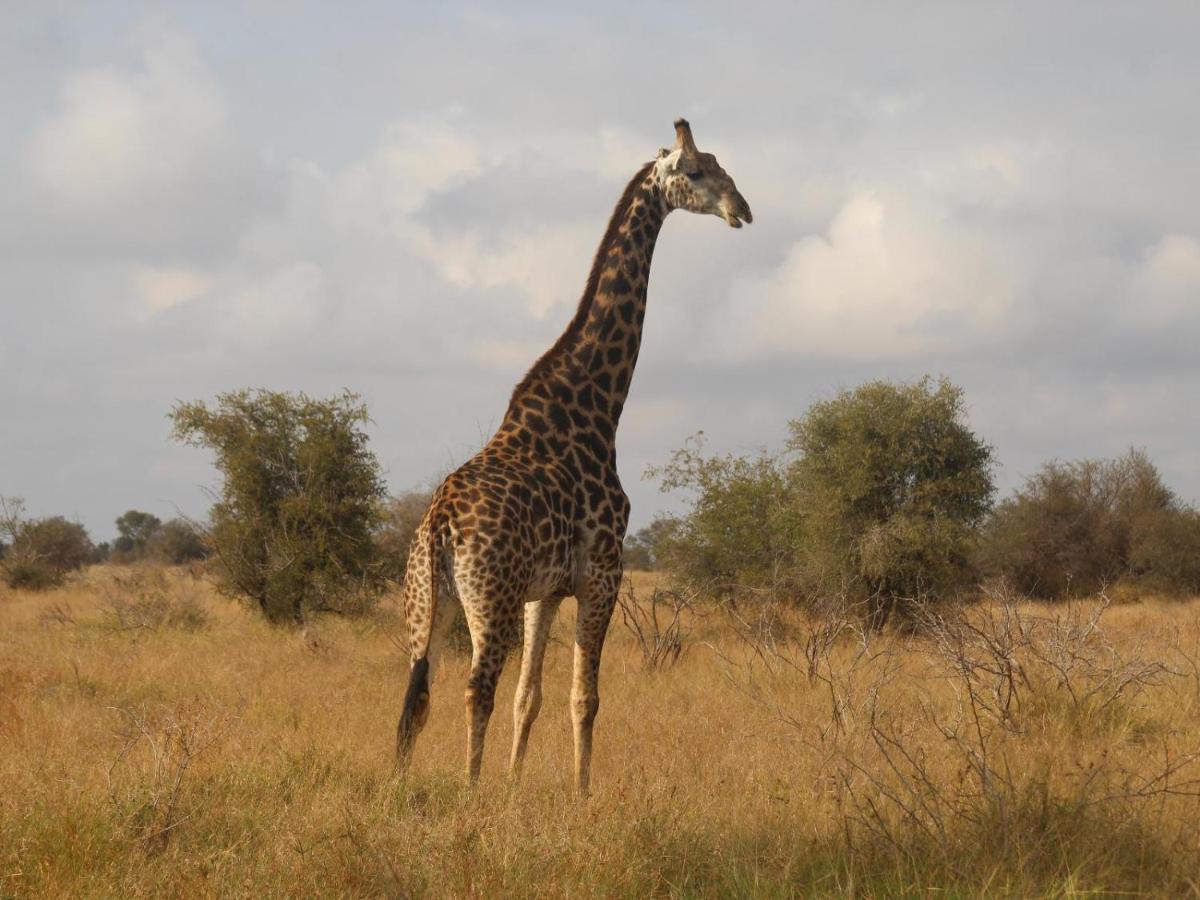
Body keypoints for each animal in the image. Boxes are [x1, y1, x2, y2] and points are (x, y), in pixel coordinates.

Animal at [393, 120, 748, 796]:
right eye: (695, 172)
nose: (742, 209)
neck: (596, 407)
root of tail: (440, 527)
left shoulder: (547, 590)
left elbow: (529, 697)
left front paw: (514, 786)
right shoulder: (602, 573)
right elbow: (585, 698)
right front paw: (583, 796)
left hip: (425, 602)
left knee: (416, 695)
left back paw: (406, 786)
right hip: (490, 600)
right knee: (475, 690)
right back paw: (469, 790)